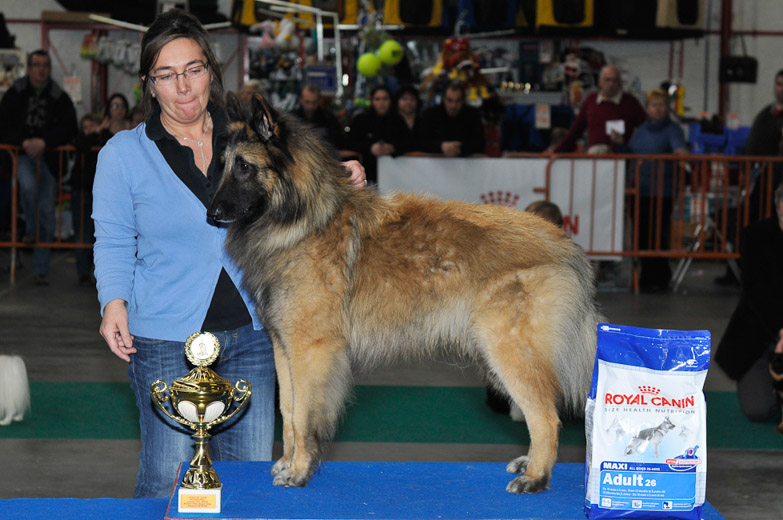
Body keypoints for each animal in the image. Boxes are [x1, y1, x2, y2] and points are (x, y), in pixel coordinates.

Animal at [208, 93, 600, 496]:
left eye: (244, 166)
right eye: (223, 165)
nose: (213, 213)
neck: (301, 219)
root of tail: (565, 245)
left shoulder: (310, 349)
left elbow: (303, 417)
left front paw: (300, 470)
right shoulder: (284, 348)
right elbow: (288, 411)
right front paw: (288, 464)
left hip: (507, 350)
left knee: (546, 416)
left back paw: (535, 476)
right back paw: (530, 464)